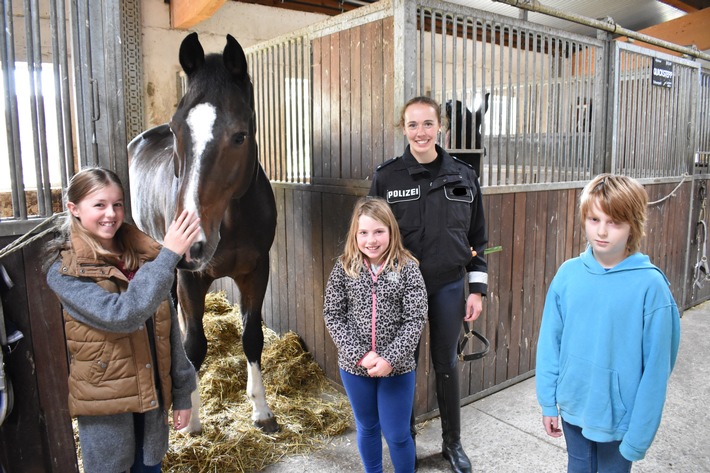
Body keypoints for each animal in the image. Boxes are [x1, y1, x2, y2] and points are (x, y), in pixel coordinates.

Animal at [128, 32, 278, 432]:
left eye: (240, 135)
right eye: (176, 129)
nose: (188, 245)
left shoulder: (256, 272)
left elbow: (252, 337)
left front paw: (261, 411)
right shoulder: (190, 277)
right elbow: (194, 344)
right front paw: (191, 420)